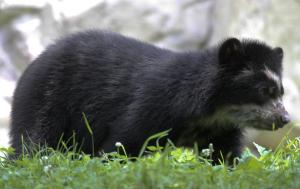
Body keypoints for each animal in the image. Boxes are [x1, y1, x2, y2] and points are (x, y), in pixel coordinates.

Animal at [9, 30, 290, 162]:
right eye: (264, 90)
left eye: (281, 92)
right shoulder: (154, 104)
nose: (285, 118)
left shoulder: (220, 129)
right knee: (33, 141)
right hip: (46, 99)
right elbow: (122, 142)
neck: (211, 112)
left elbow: (223, 155)